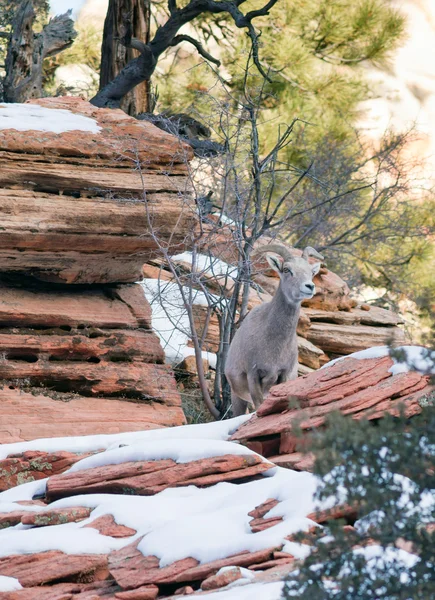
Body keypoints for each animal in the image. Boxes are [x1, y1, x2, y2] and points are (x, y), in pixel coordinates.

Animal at [225, 244, 324, 418]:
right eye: (286, 270)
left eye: (311, 272)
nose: (309, 287)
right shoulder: (253, 376)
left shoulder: (283, 375)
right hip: (237, 396)